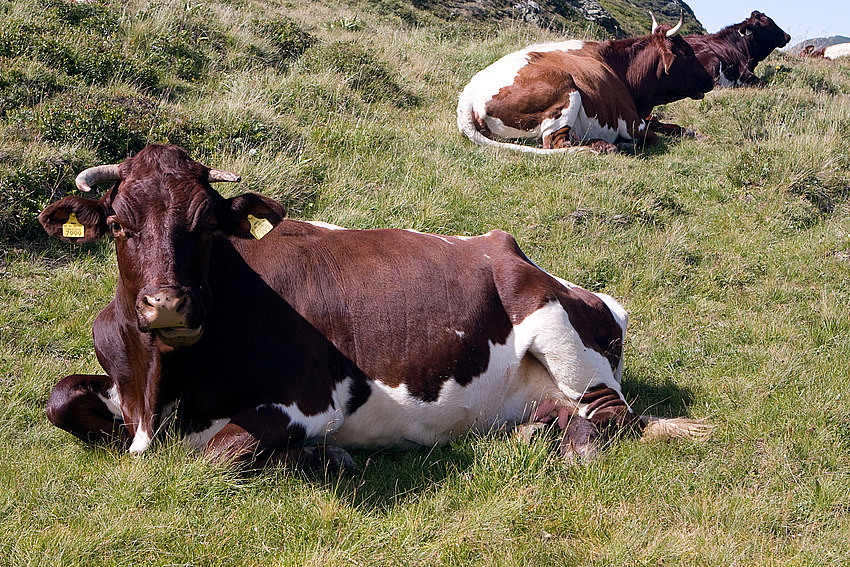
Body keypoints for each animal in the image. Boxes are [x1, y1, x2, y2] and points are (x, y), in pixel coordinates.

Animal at [36, 144, 704, 472]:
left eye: (204, 228)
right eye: (118, 225)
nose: (167, 303)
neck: (159, 388)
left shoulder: (312, 396)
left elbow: (213, 458)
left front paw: (322, 456)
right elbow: (60, 397)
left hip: (552, 320)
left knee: (614, 415)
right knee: (564, 415)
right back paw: (533, 432)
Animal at [454, 14, 712, 154]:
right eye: (687, 53)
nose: (710, 79)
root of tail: (468, 94)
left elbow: (662, 124)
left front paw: (686, 130)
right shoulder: (631, 121)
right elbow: (652, 136)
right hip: (566, 91)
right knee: (556, 144)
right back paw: (606, 146)